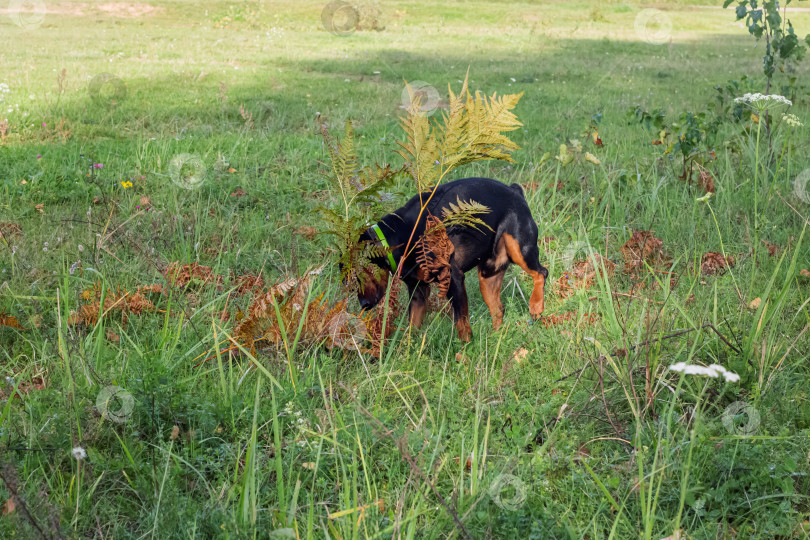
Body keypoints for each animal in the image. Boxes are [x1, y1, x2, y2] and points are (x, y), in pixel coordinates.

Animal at [352, 176, 548, 342]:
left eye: (359, 273)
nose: (363, 305)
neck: (401, 234)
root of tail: (515, 190)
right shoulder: (418, 291)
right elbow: (412, 326)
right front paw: (405, 352)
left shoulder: (454, 279)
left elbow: (461, 322)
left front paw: (464, 351)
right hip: (488, 274)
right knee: (499, 309)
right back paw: (495, 339)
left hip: (519, 249)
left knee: (541, 272)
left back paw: (536, 307)